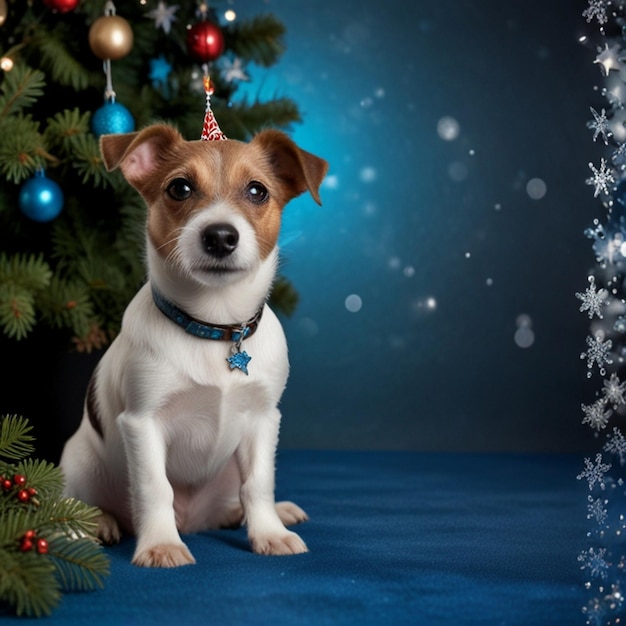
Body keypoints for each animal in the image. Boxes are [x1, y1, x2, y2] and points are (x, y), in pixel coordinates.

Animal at [59, 122, 326, 564]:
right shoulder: (143, 422)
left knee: (236, 498)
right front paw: (161, 544)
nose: (220, 236)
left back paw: (265, 512)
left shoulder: (262, 419)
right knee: (69, 502)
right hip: (79, 461)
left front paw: (269, 532)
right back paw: (97, 522)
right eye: (179, 188)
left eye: (257, 191)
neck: (214, 326)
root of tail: (195, 520)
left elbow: (258, 483)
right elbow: (155, 487)